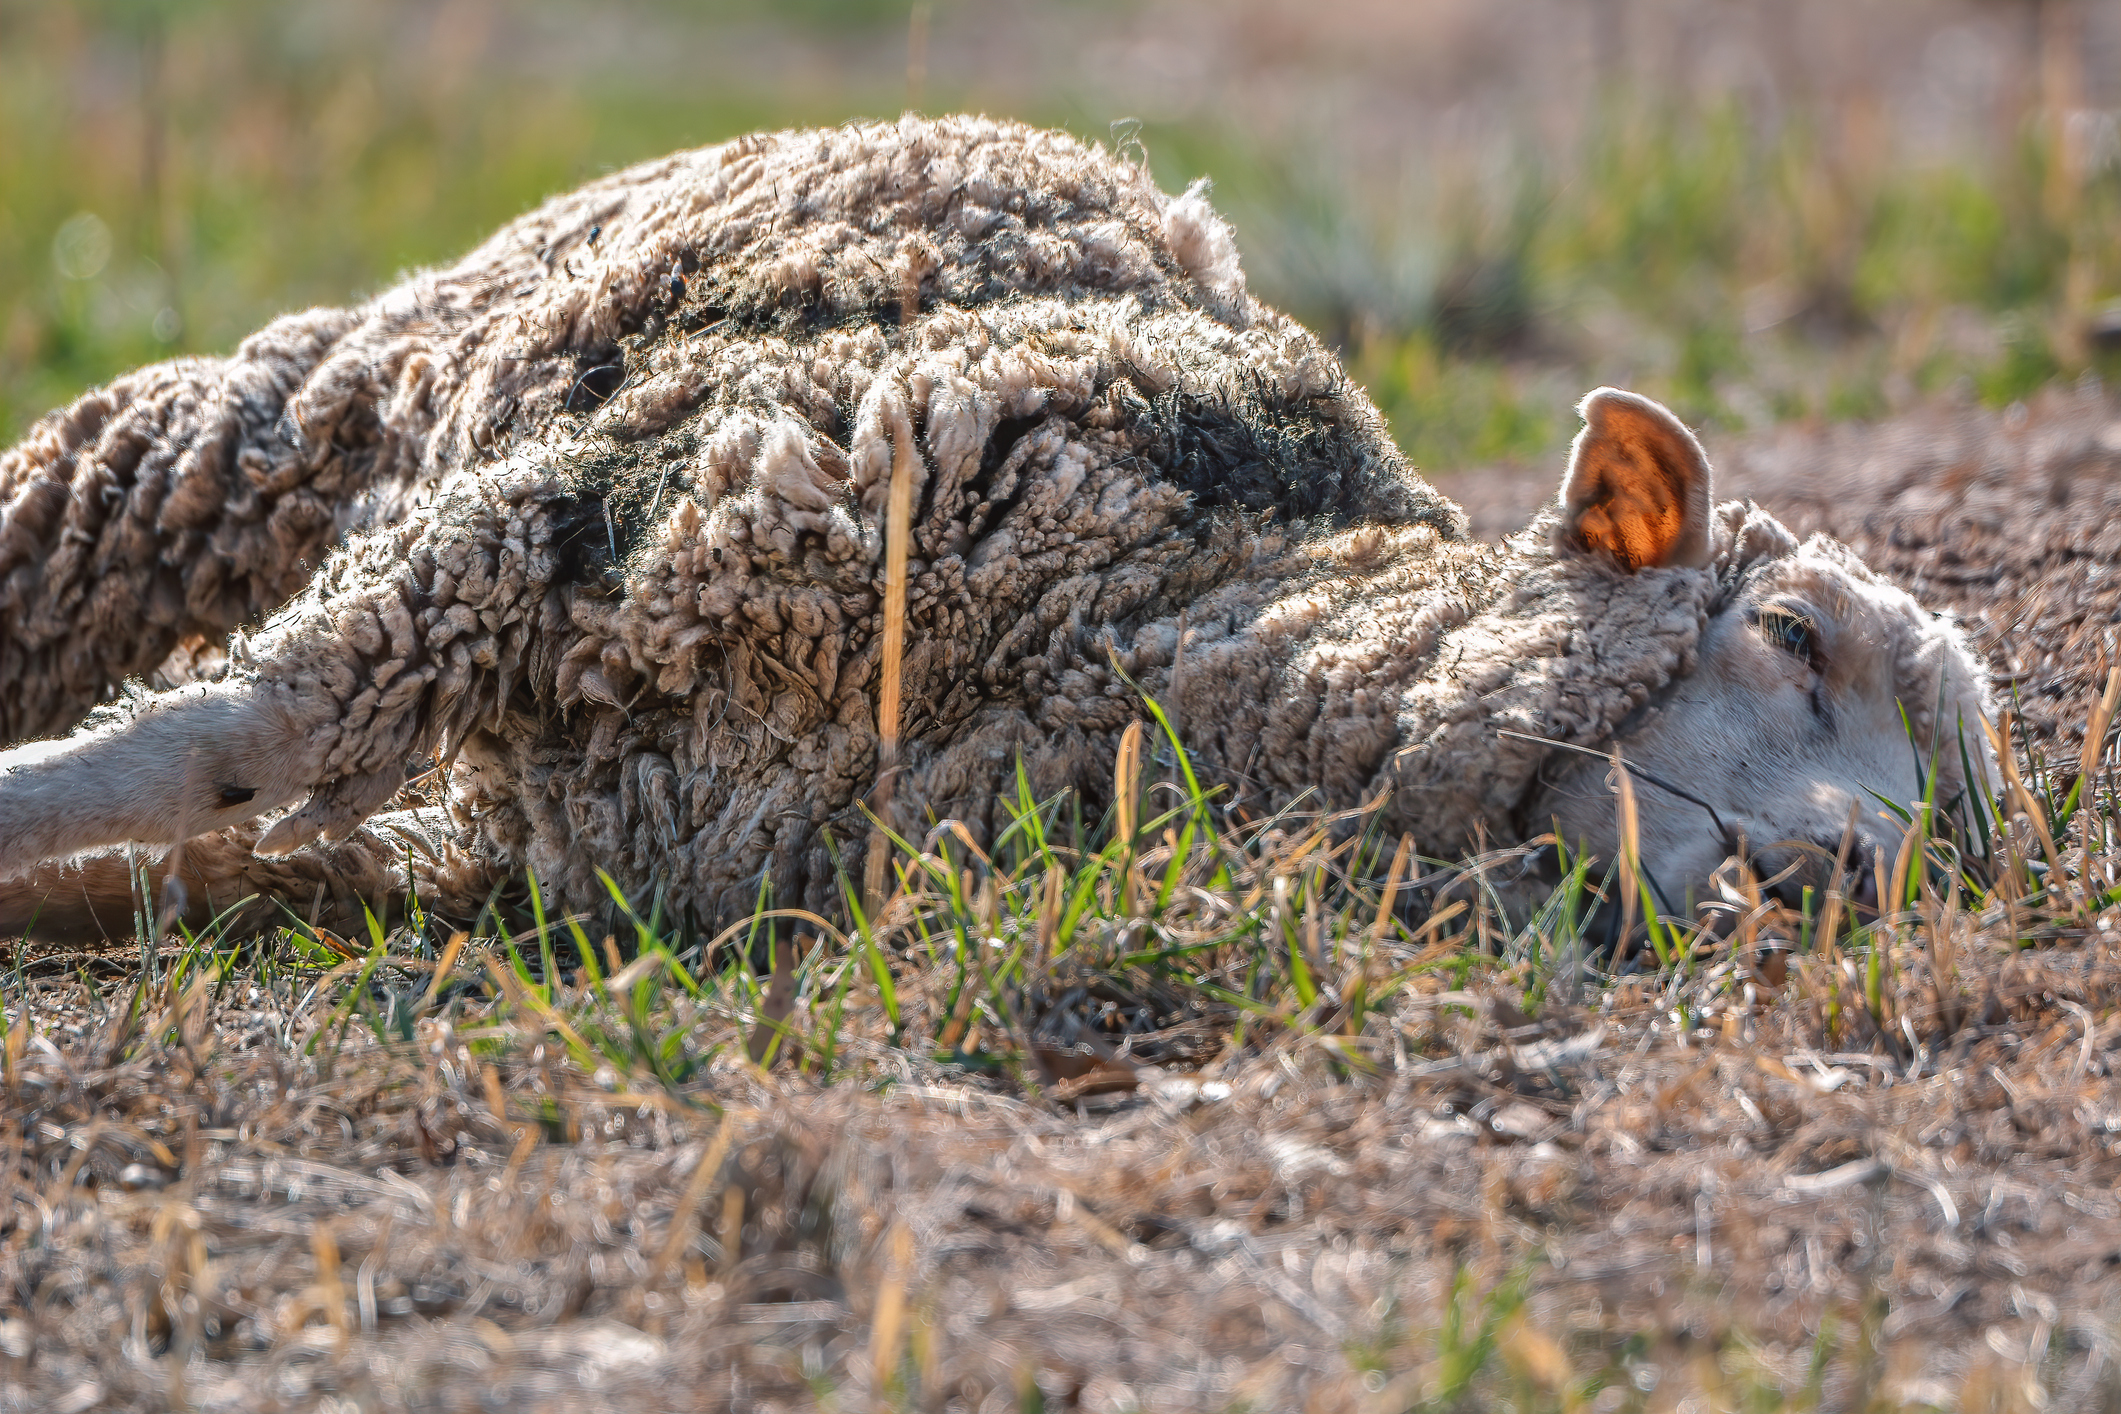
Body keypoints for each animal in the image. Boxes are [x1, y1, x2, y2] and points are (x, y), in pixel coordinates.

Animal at [0, 118, 1985, 941]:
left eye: (1966, 833)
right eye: (1790, 636)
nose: (1860, 869)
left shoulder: (571, 827)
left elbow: (241, 833)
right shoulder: (567, 519)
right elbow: (219, 741)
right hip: (282, 419)